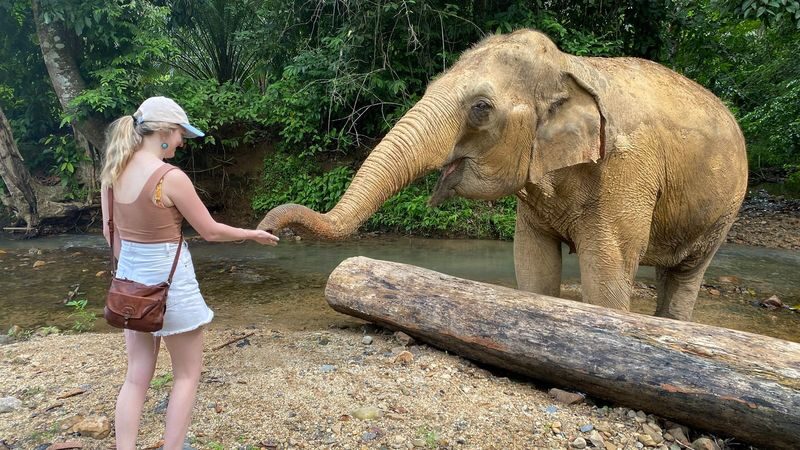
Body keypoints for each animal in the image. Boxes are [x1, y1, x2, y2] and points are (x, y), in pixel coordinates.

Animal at [258, 29, 748, 321]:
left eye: (480, 108)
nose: (266, 227)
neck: (569, 66)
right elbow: (533, 267)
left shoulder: (624, 176)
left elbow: (607, 284)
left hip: (726, 209)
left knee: (686, 277)